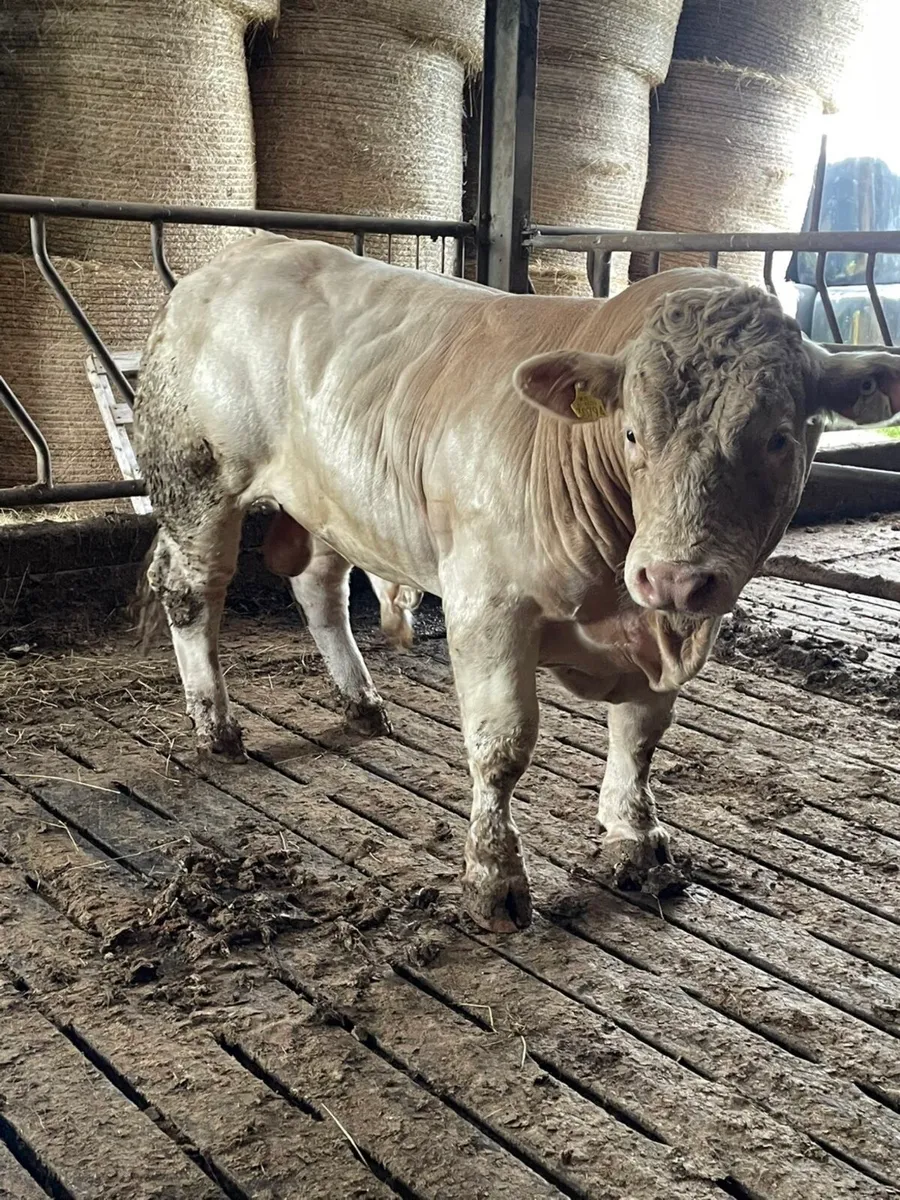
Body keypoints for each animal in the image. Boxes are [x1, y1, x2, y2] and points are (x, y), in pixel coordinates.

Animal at [133, 233, 900, 933]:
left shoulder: (658, 630)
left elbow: (642, 735)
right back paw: (216, 726)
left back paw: (360, 702)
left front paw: (635, 838)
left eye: (779, 437)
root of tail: (228, 260)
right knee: (191, 593)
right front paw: (493, 878)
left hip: (329, 501)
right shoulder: (488, 603)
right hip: (197, 485)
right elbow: (502, 745)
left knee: (320, 588)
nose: (677, 577)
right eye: (631, 434)